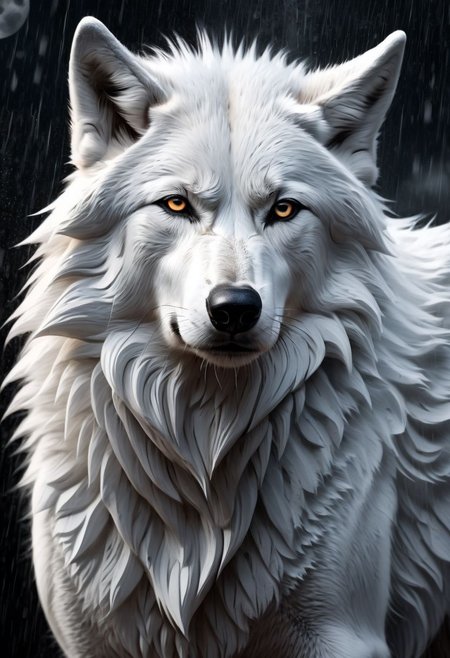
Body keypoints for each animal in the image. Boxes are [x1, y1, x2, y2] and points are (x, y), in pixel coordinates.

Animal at [5, 15, 450, 658]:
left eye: (284, 209)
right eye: (176, 204)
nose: (235, 309)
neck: (204, 448)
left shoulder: (343, 637)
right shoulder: (89, 642)